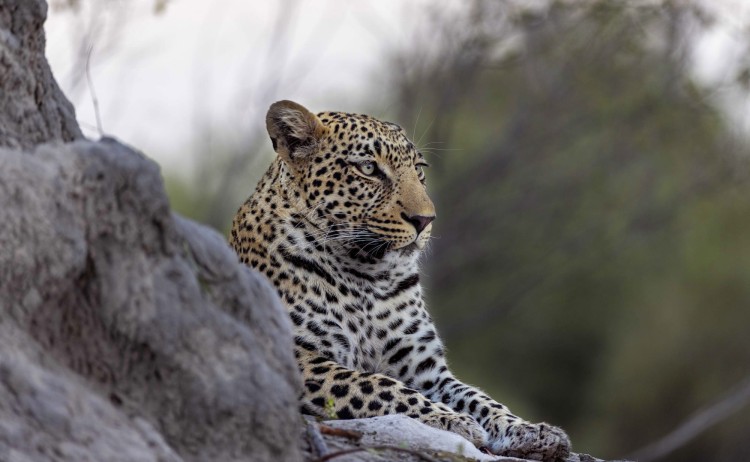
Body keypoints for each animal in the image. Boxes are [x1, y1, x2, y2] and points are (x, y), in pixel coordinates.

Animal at [230, 100, 571, 460]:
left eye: (418, 168)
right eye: (368, 168)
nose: (425, 220)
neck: (364, 273)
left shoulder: (425, 369)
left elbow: (480, 398)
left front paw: (531, 430)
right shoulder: (299, 356)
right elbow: (375, 384)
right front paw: (450, 421)